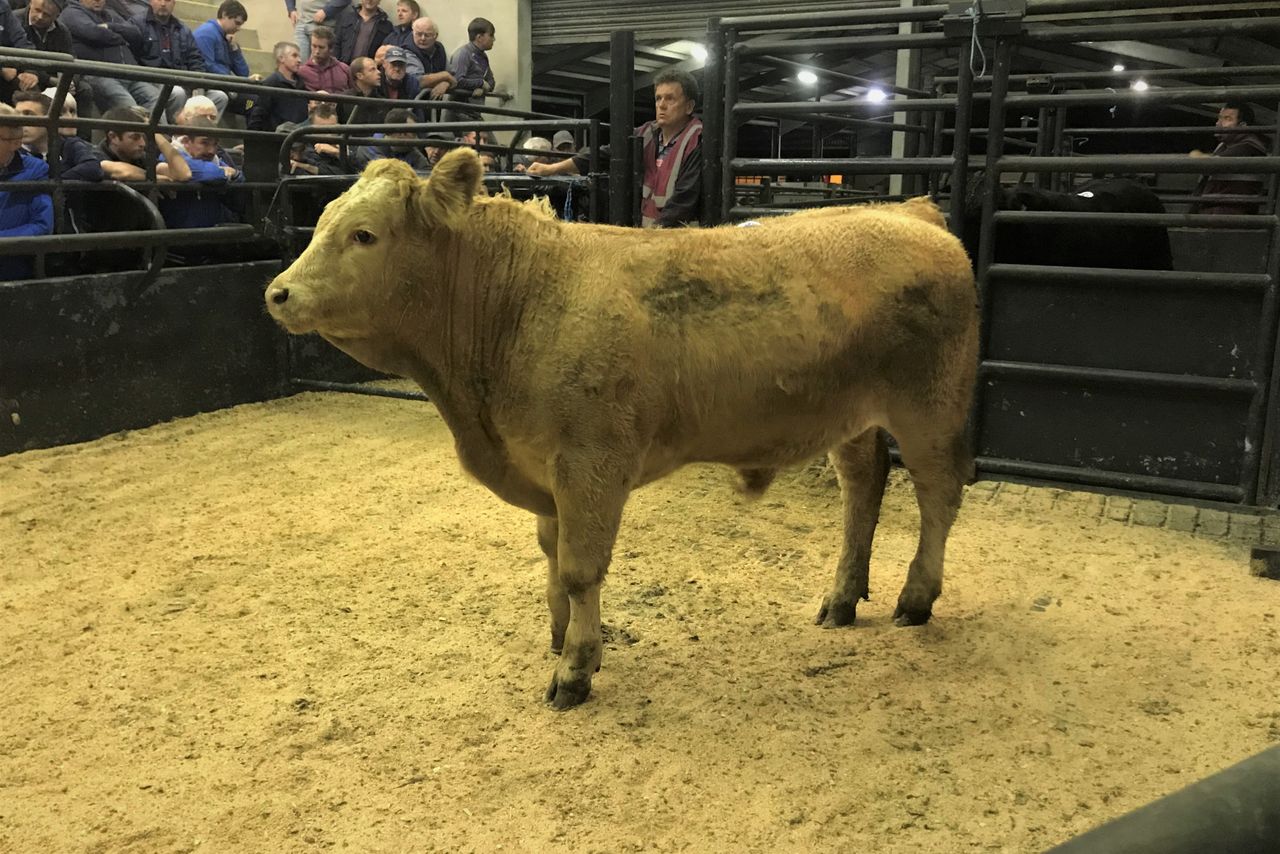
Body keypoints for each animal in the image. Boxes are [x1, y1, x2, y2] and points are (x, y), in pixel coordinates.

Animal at [265, 148, 980, 710]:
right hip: (851, 417)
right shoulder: (543, 467)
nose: (277, 293)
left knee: (938, 494)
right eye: (321, 221)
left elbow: (581, 567)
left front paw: (576, 670)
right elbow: (552, 558)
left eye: (363, 235)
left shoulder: (591, 461)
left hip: (930, 407)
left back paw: (915, 597)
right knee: (864, 487)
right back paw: (842, 598)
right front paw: (561, 638)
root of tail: (909, 210)